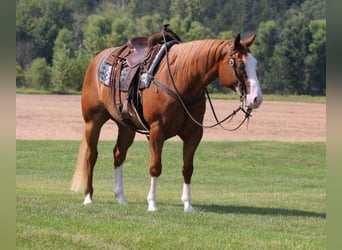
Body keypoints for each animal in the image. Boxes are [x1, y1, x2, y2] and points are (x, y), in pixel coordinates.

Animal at [71, 31, 264, 211]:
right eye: (240, 63)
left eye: (255, 63)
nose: (256, 98)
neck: (181, 81)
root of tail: (97, 59)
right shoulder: (157, 131)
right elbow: (155, 167)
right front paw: (152, 204)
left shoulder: (194, 133)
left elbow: (187, 168)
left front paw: (188, 205)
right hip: (93, 121)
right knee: (91, 155)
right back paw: (88, 196)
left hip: (126, 127)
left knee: (119, 155)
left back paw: (121, 197)